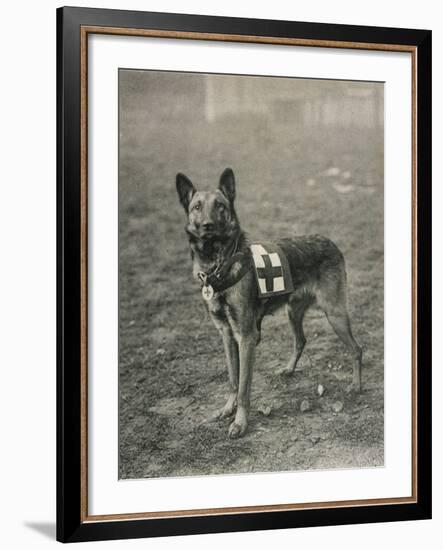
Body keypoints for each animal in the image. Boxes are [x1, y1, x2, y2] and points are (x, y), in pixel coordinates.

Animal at [175, 168, 362, 440]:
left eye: (220, 206)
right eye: (197, 206)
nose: (208, 225)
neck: (219, 264)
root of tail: (329, 241)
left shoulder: (246, 337)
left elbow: (244, 387)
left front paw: (240, 422)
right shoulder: (226, 335)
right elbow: (233, 379)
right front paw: (227, 409)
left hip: (334, 313)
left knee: (356, 349)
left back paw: (356, 385)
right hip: (293, 312)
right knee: (301, 340)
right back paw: (289, 369)